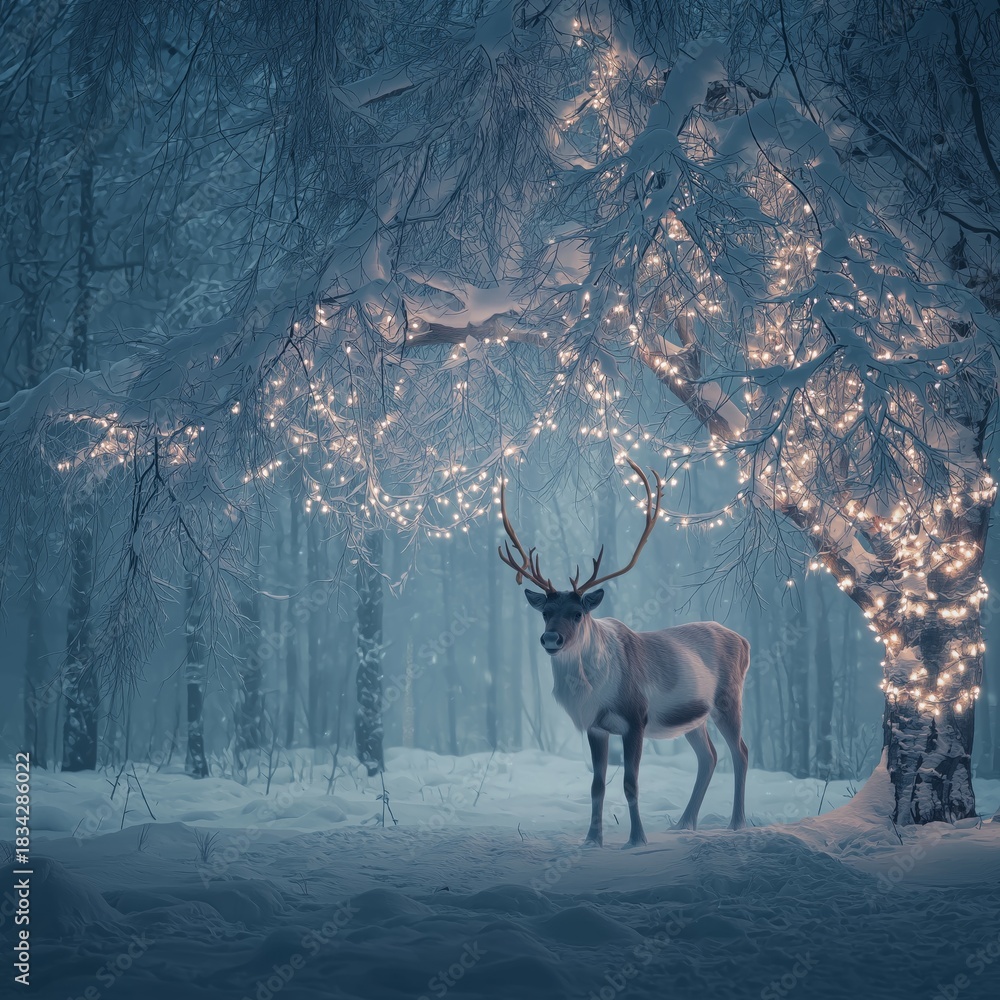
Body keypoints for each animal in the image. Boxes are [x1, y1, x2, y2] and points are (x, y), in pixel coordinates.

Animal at [498, 459, 750, 848]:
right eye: (545, 612)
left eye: (578, 613)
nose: (551, 638)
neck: (593, 691)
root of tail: (745, 642)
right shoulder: (596, 727)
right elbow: (597, 786)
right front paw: (591, 840)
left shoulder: (636, 717)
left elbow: (631, 783)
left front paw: (637, 839)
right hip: (694, 717)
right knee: (708, 756)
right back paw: (684, 823)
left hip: (728, 699)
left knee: (740, 752)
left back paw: (737, 823)